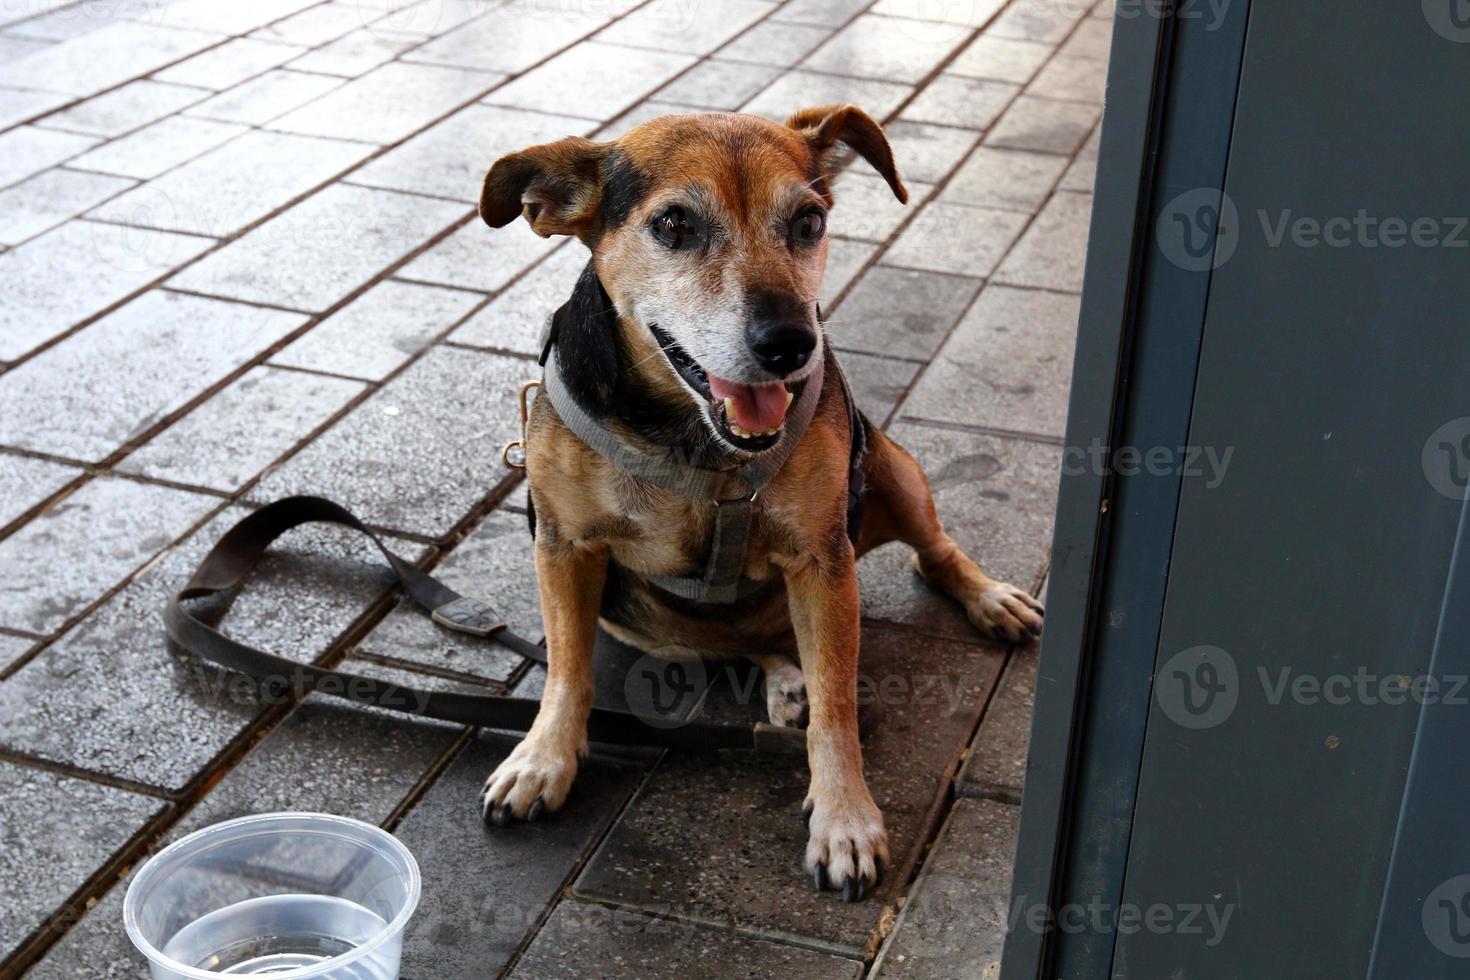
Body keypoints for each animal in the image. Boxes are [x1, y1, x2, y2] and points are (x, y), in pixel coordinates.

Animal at [476, 107, 1040, 905]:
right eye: (674, 224)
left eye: (808, 221)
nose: (790, 344)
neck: (692, 439)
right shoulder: (563, 545)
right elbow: (566, 668)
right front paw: (543, 759)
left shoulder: (822, 560)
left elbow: (838, 706)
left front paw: (844, 819)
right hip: (642, 622)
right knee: (733, 641)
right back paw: (781, 676)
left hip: (892, 469)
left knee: (932, 554)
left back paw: (987, 599)